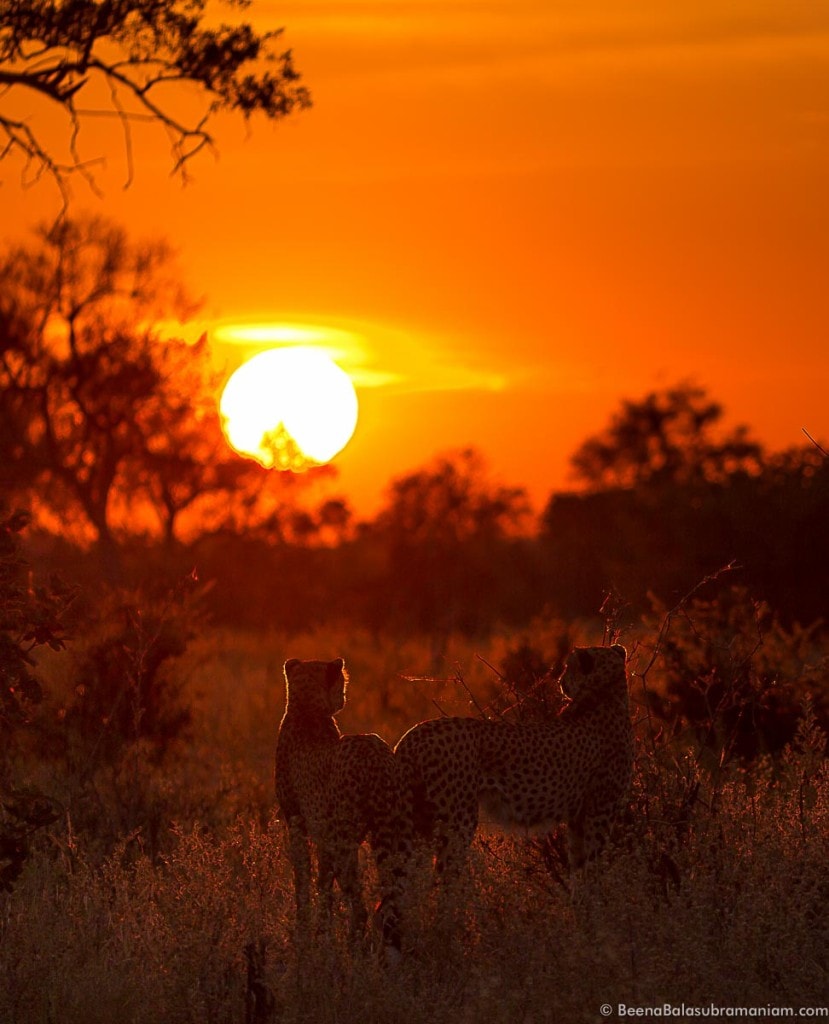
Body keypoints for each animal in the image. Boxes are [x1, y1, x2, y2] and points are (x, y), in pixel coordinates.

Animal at [274, 659, 407, 946]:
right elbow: (323, 881)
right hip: (390, 830)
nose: (343, 698)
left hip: (346, 840)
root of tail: (371, 753)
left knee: (360, 905)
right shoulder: (324, 833)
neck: (307, 707)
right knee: (391, 896)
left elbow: (303, 876)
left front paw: (305, 930)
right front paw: (322, 929)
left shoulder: (297, 820)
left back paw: (353, 944)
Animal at [395, 647, 634, 880]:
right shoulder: (600, 810)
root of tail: (414, 733)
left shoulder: (579, 816)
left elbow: (580, 867)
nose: (560, 681)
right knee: (443, 873)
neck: (607, 692)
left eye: (568, 667)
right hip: (457, 819)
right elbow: (594, 866)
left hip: (420, 818)